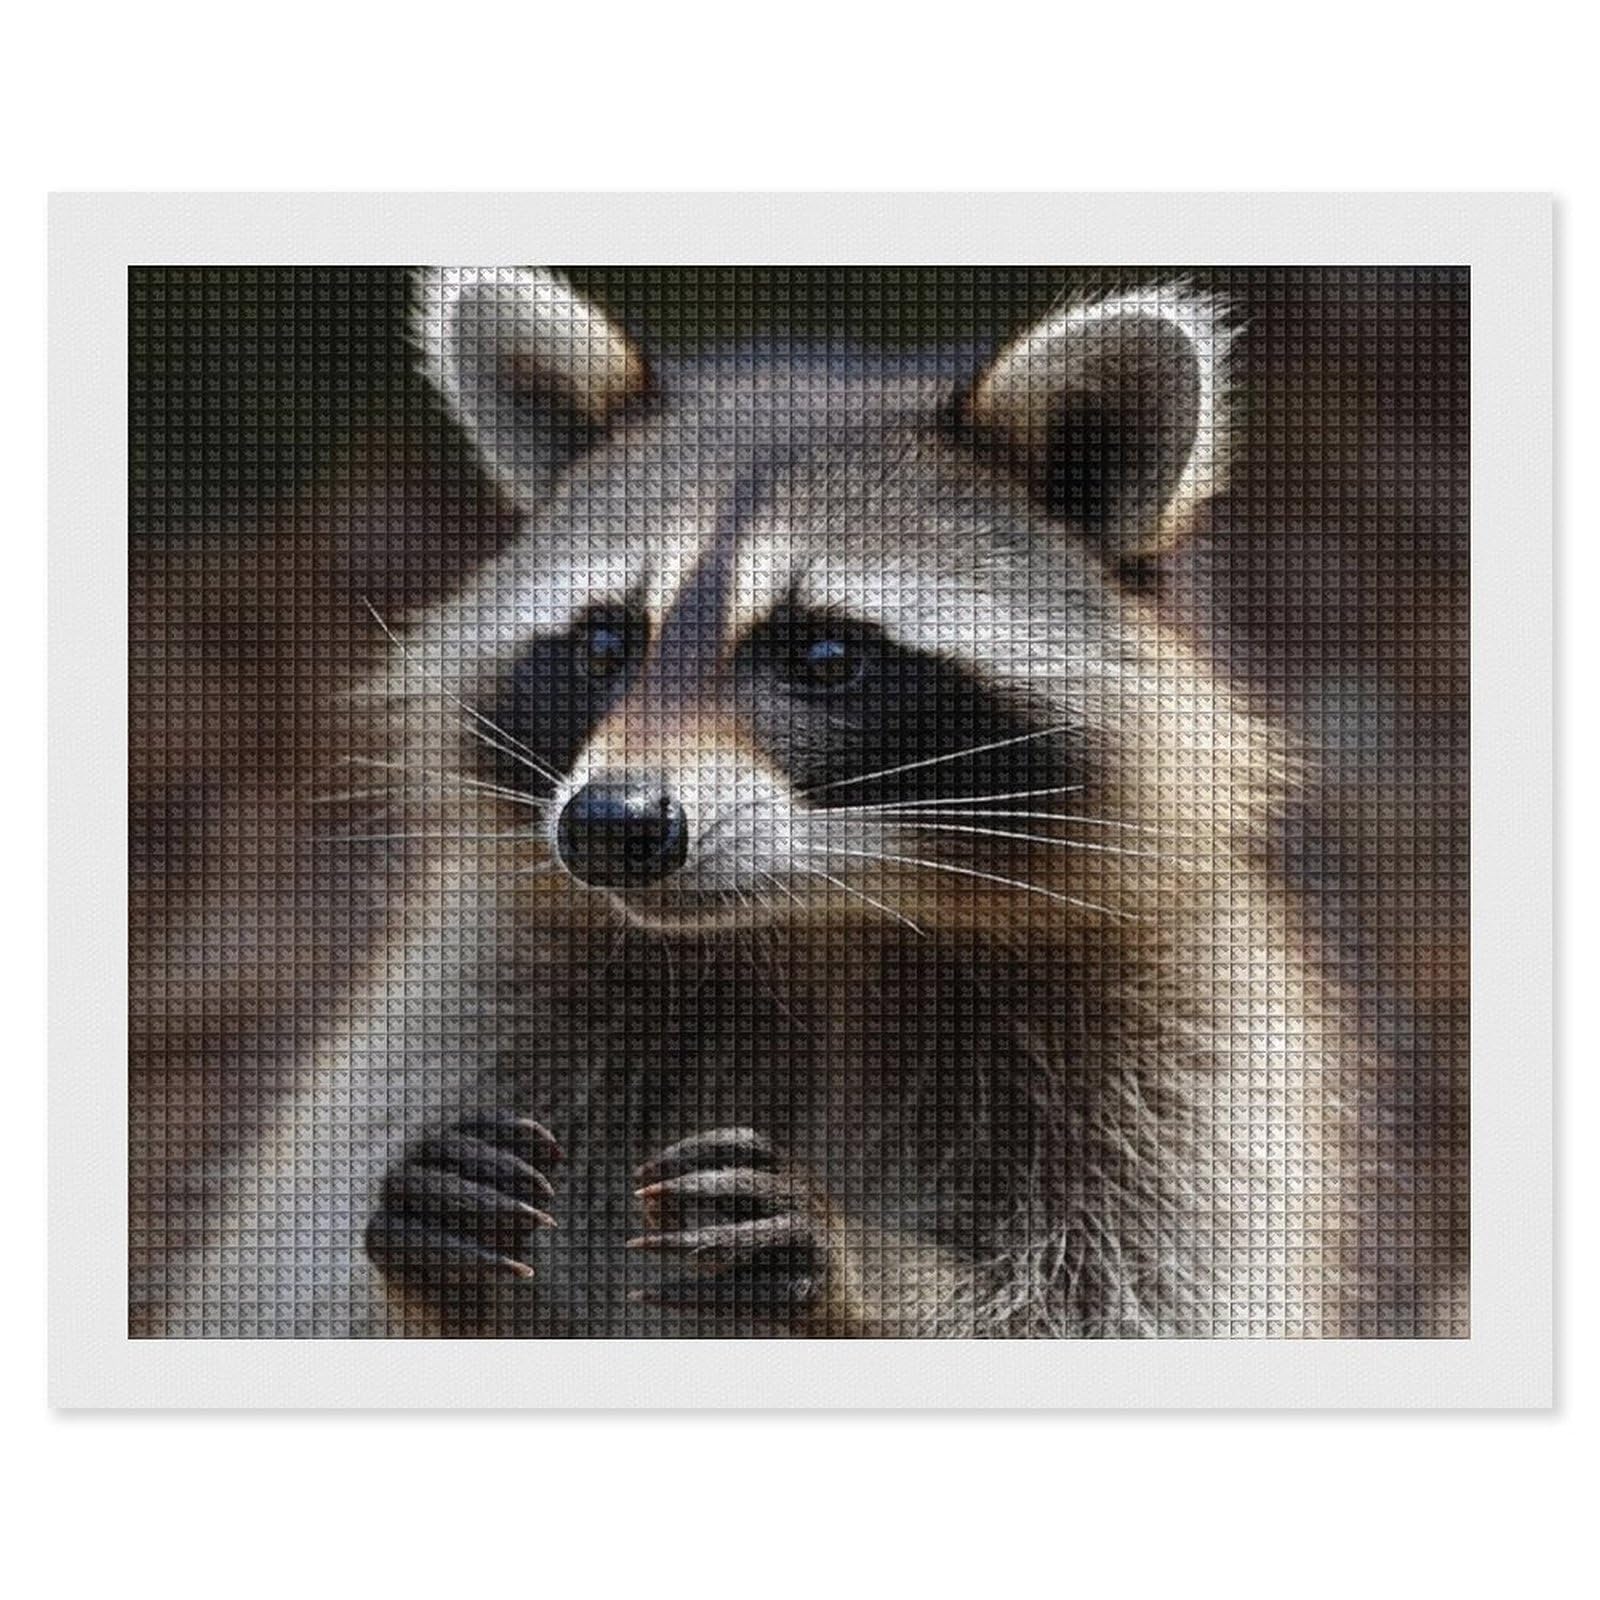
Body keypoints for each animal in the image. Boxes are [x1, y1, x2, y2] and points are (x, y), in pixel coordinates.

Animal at [136, 267, 1427, 1339]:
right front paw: (438, 1286)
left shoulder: (1186, 1056)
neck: (822, 928)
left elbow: (1134, 1299)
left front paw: (875, 1276)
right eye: (605, 641)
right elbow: (286, 1292)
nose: (612, 826)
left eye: (823, 654)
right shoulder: (471, 1010)